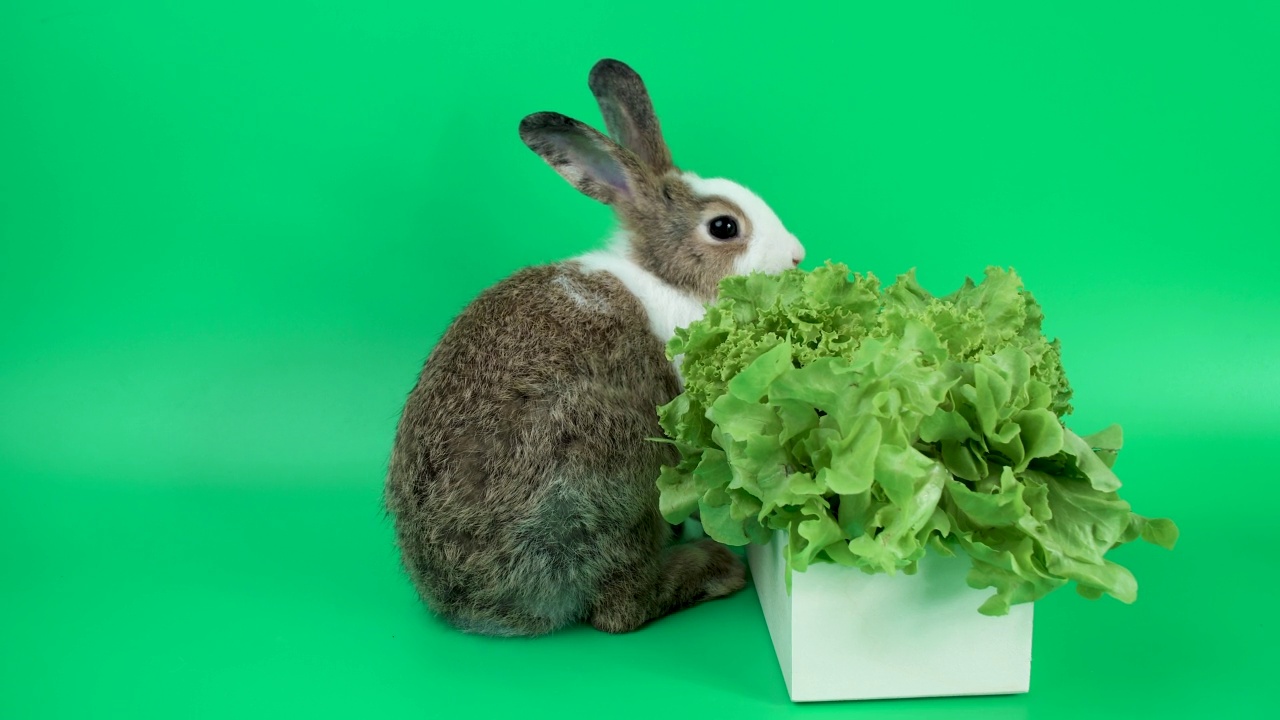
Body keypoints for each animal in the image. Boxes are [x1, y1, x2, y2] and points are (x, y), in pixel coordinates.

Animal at [384, 60, 803, 632]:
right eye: (723, 227)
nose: (797, 256)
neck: (670, 280)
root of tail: (473, 599)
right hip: (609, 466)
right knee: (619, 607)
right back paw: (712, 568)